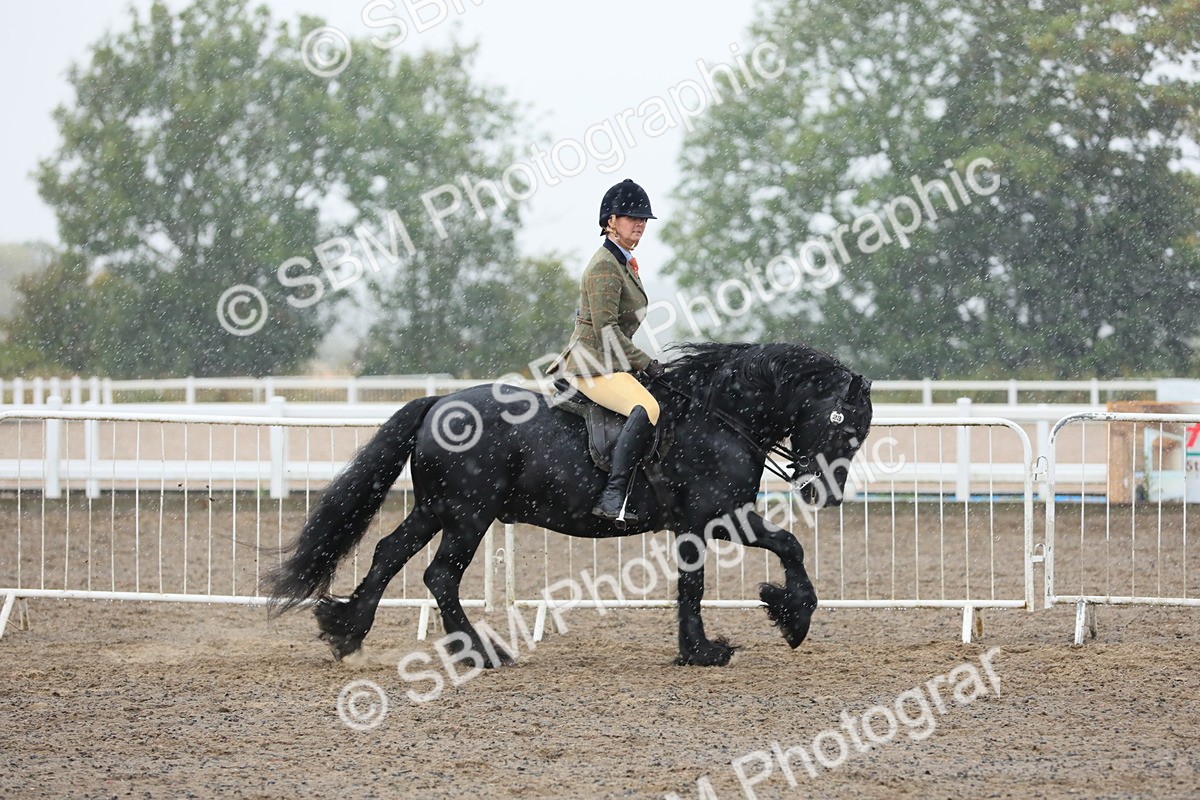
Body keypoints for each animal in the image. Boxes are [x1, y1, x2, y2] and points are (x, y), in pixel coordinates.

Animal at [266, 342, 873, 667]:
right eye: (844, 426)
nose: (825, 494)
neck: (719, 416)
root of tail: (440, 402)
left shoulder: (693, 528)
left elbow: (691, 586)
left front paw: (696, 649)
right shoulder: (722, 518)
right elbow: (788, 545)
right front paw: (789, 617)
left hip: (437, 509)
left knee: (389, 554)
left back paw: (346, 631)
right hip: (468, 514)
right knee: (439, 575)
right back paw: (480, 652)